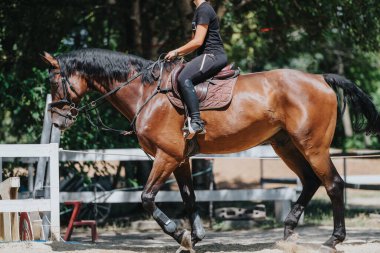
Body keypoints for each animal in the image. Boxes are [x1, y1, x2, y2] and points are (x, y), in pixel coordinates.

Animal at [42, 48, 380, 252]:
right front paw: (194, 237)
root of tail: (319, 78)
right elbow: (190, 199)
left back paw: (333, 238)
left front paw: (178, 233)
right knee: (310, 182)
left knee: (333, 184)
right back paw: (288, 233)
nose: (57, 120)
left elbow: (147, 198)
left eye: (55, 82)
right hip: (285, 145)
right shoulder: (179, 159)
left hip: (313, 146)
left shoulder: (166, 156)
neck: (146, 92)